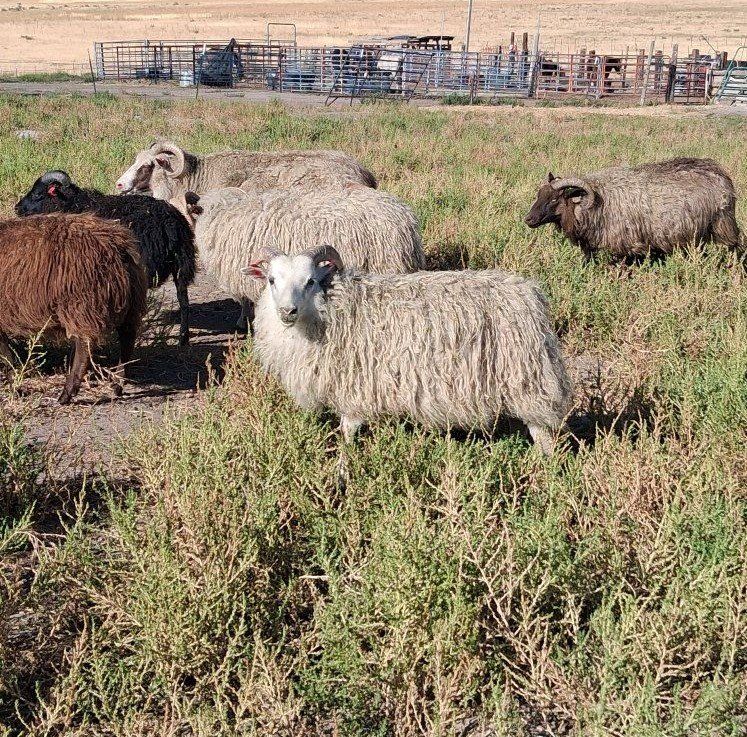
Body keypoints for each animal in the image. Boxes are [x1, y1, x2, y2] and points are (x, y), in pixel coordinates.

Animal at [0, 213, 147, 404]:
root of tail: (119, 246)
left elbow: (6, 355)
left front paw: (16, 388)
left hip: (81, 305)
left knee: (84, 348)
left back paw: (66, 394)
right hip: (129, 301)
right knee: (127, 338)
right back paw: (117, 385)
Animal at [15, 170, 196, 346]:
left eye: (37, 194)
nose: (17, 208)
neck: (73, 204)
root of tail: (169, 223)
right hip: (182, 263)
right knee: (184, 301)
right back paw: (183, 338)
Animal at [242, 245, 572, 455]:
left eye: (310, 280)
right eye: (271, 280)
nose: (287, 311)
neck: (331, 308)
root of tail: (529, 292)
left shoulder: (355, 389)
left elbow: (347, 433)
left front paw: (344, 471)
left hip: (529, 380)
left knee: (543, 435)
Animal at [524, 158, 742, 261]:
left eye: (554, 199)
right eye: (538, 195)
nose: (528, 219)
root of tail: (720, 172)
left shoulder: (624, 245)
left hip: (723, 224)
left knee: (735, 246)